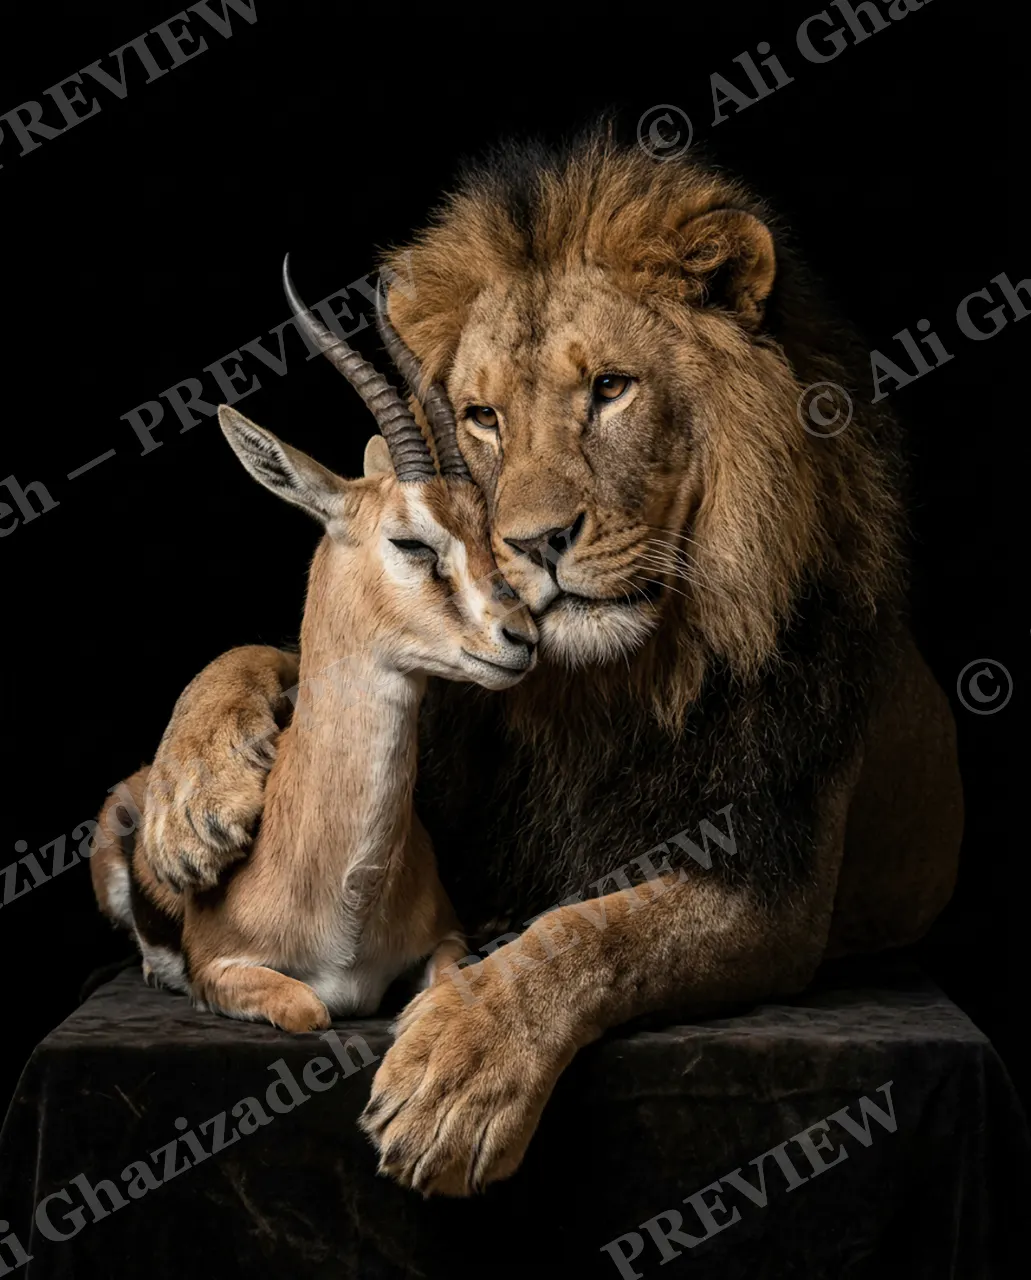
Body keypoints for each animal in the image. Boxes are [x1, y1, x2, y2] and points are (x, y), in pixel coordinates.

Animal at [127, 127, 962, 1197]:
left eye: (609, 388)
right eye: (481, 416)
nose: (530, 547)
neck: (603, 686)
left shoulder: (773, 883)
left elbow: (597, 932)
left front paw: (457, 1072)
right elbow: (256, 653)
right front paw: (189, 809)